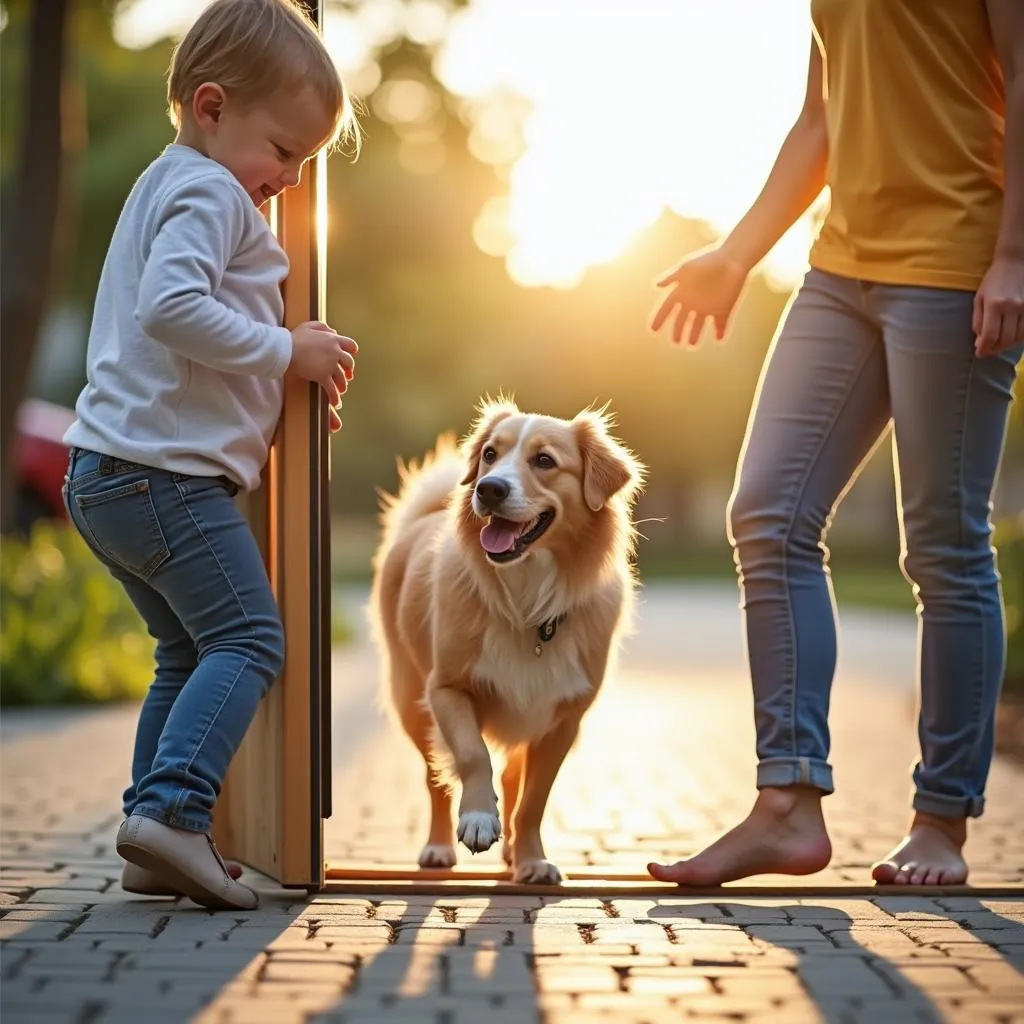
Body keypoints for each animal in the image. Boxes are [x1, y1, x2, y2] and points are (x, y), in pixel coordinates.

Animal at [368, 403, 643, 884]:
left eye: (545, 461)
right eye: (490, 454)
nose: (488, 488)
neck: (527, 603)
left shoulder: (563, 721)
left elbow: (533, 800)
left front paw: (532, 860)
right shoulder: (446, 690)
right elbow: (472, 756)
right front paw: (478, 819)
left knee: (513, 780)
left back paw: (515, 851)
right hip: (411, 703)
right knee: (435, 778)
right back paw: (438, 847)